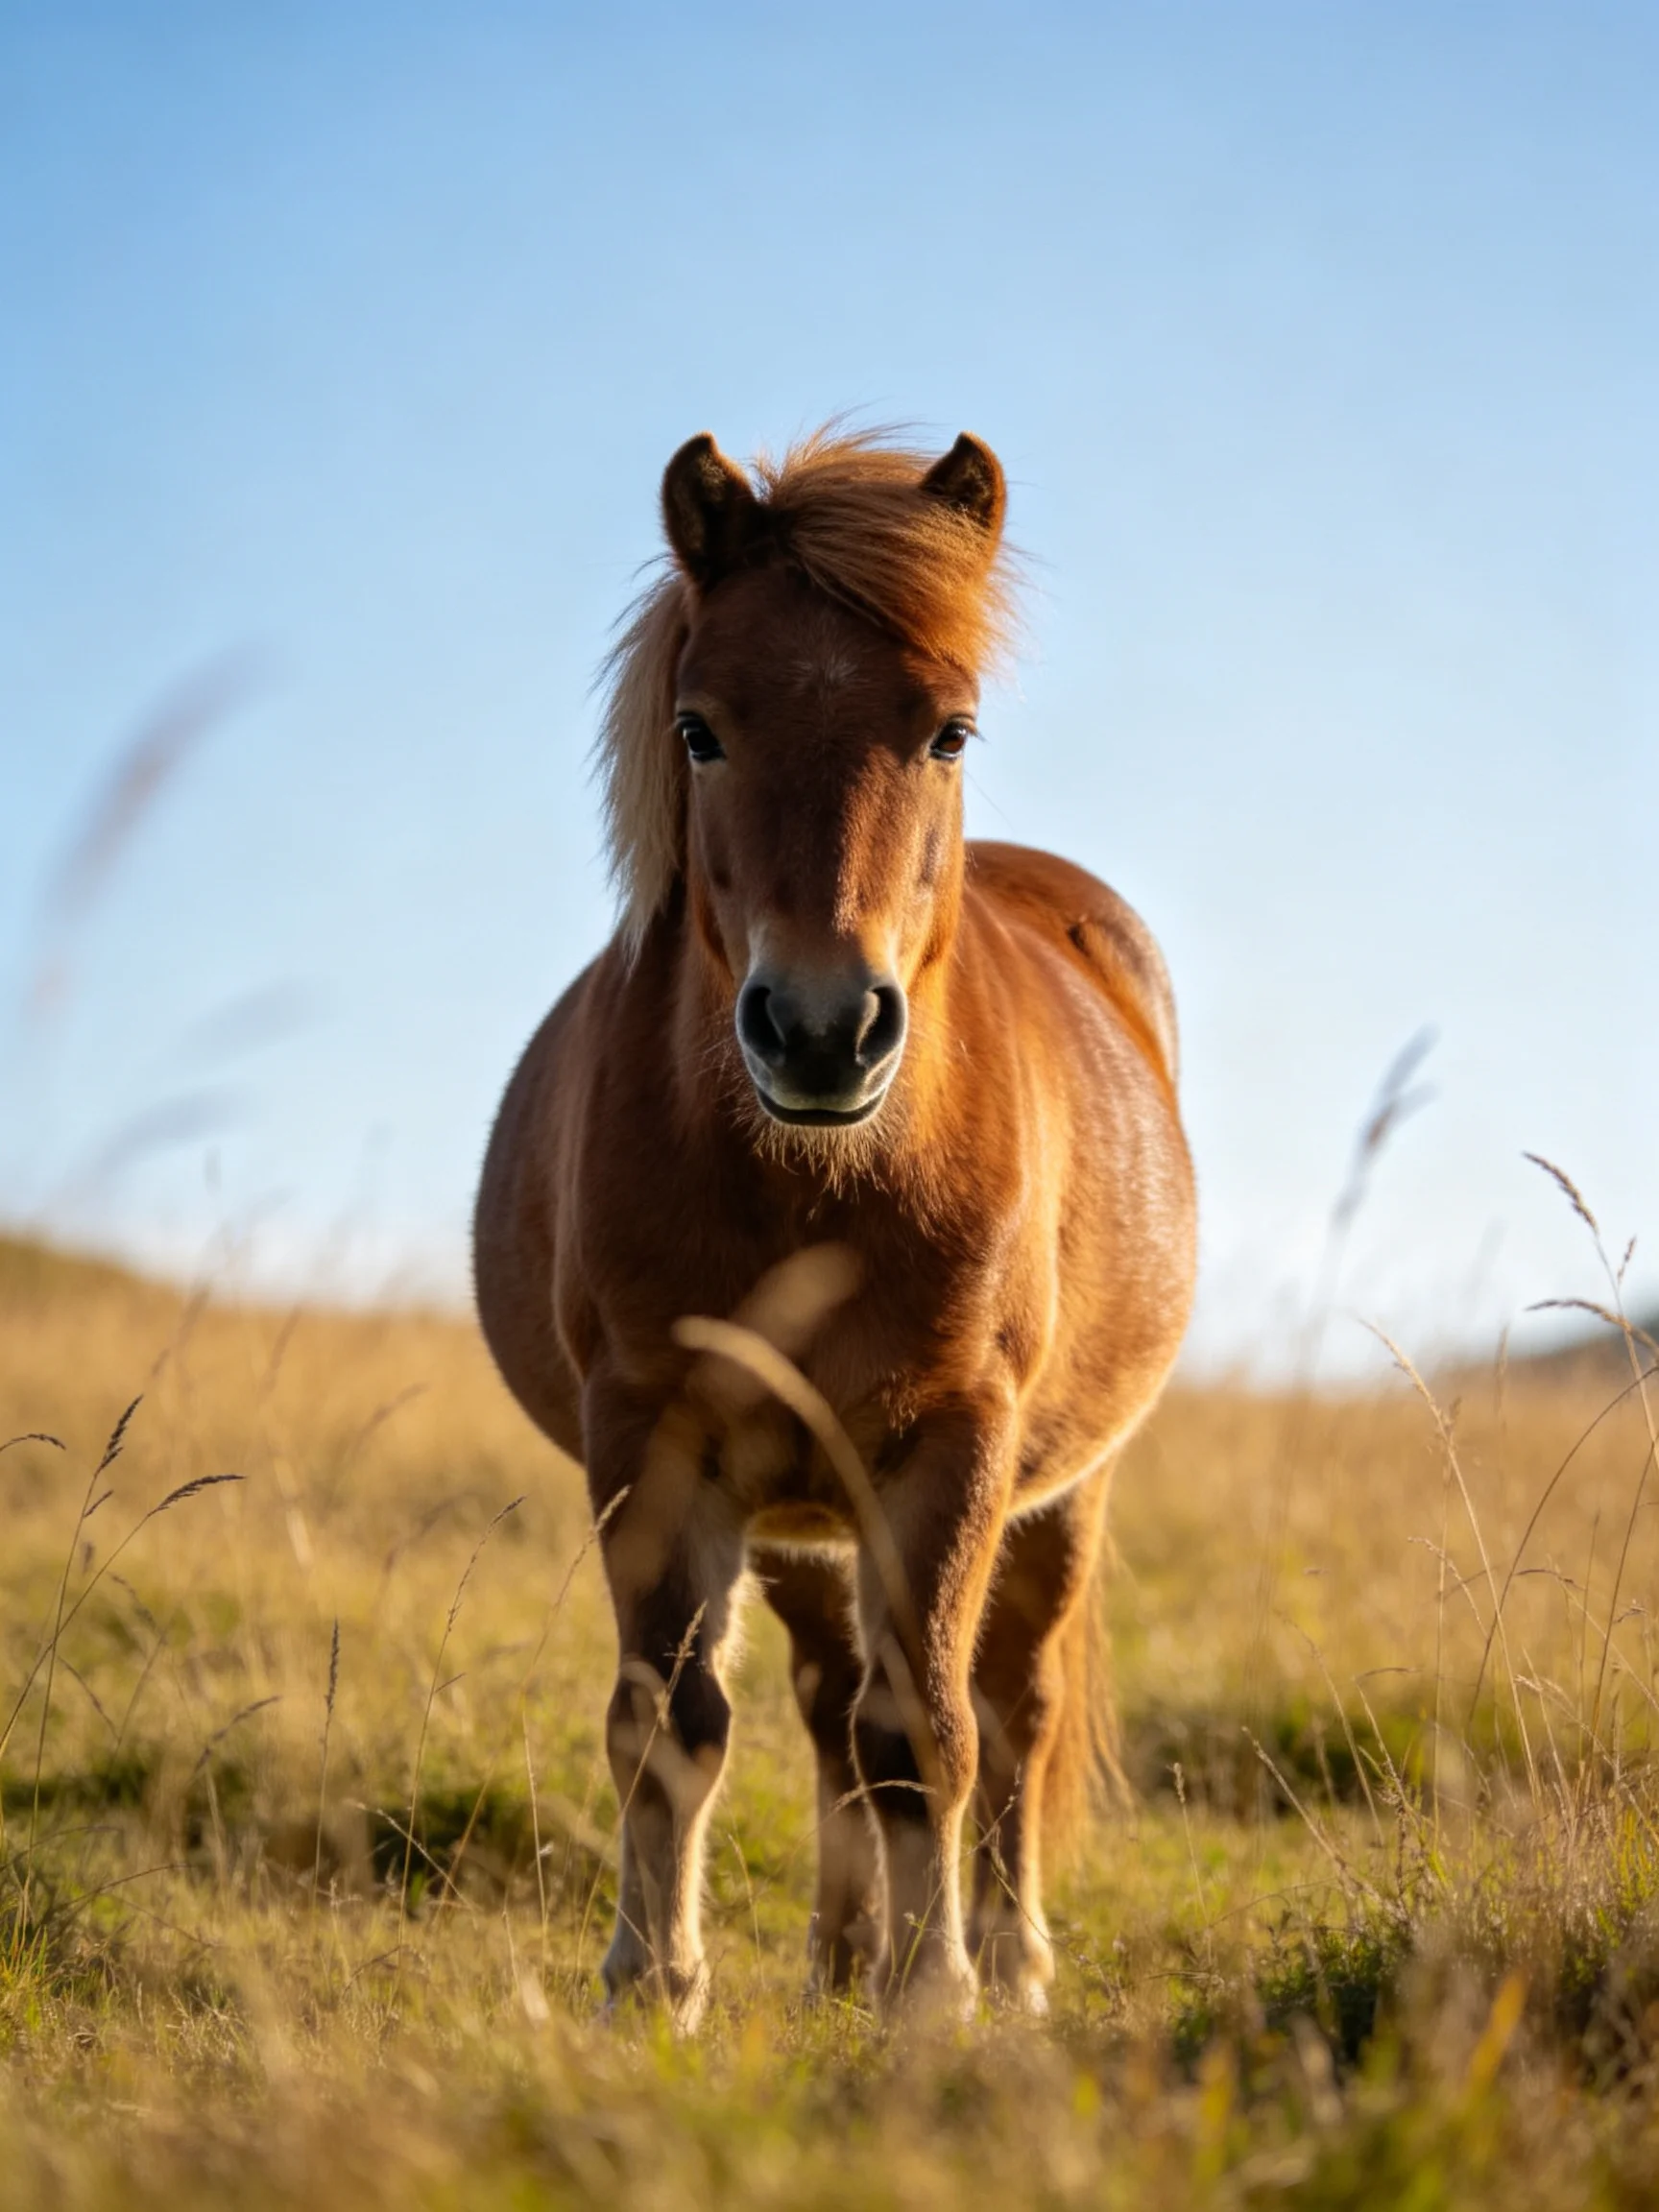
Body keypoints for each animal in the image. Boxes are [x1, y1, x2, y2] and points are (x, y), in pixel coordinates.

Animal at [474, 425, 1195, 2026]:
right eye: (699, 731)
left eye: (950, 732)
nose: (820, 1030)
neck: (813, 1181)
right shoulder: (654, 1437)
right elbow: (669, 1722)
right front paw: (651, 1986)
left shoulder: (952, 1449)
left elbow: (928, 1730)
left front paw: (934, 2004)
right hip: (799, 1522)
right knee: (817, 1713)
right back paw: (836, 1955)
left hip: (1059, 1495)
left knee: (1012, 1704)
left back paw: (1007, 1961)